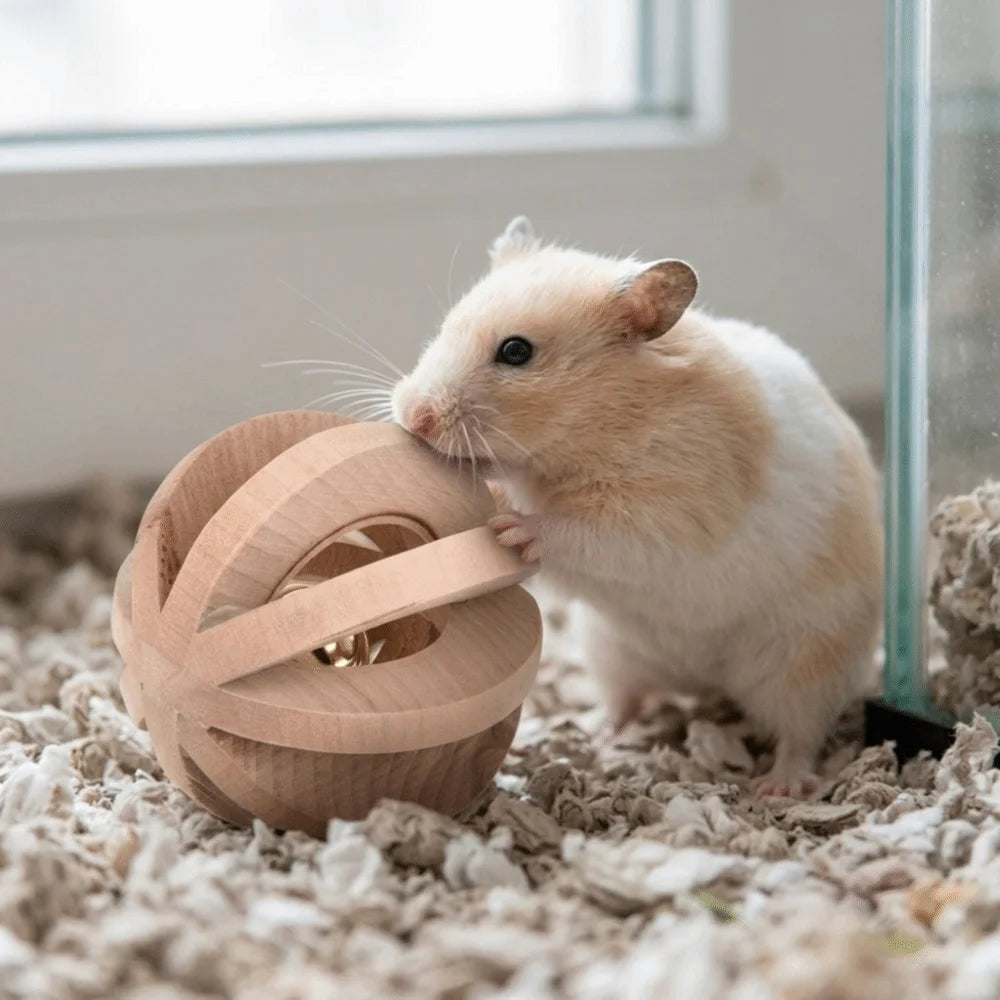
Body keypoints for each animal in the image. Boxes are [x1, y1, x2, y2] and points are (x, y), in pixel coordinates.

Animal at [391, 216, 883, 798]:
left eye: (515, 352)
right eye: (446, 327)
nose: (413, 418)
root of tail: (702, 680)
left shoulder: (671, 514)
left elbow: (590, 533)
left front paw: (513, 531)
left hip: (807, 664)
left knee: (801, 733)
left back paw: (778, 787)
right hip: (610, 648)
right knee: (627, 698)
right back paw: (595, 732)